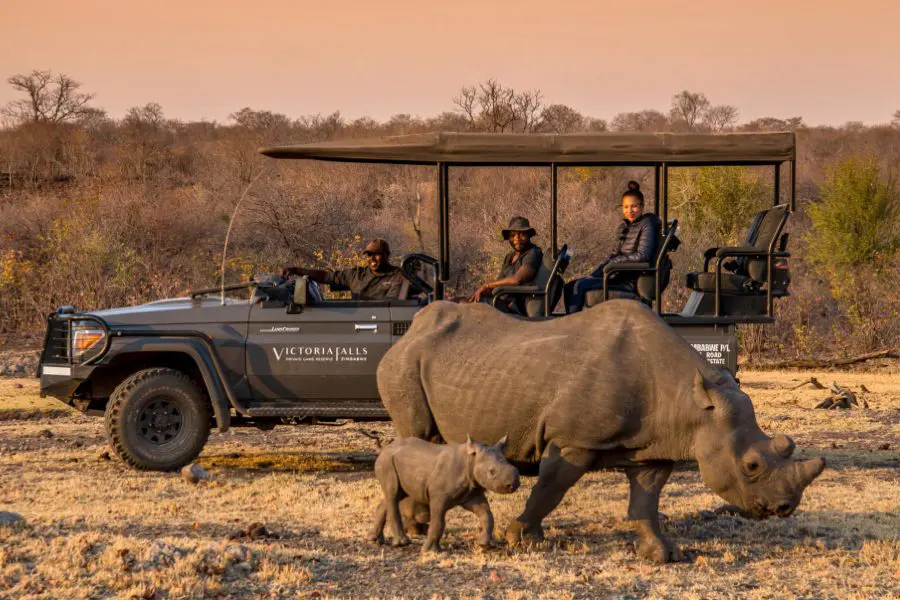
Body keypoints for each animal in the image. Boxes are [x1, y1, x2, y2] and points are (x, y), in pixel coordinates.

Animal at [368, 432, 520, 552]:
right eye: (492, 472)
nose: (513, 485)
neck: (471, 460)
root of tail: (384, 449)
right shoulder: (438, 495)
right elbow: (439, 521)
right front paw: (430, 551)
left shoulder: (472, 493)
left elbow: (486, 514)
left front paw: (483, 544)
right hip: (387, 461)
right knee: (393, 494)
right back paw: (402, 543)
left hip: (396, 462)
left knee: (396, 495)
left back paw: (374, 540)